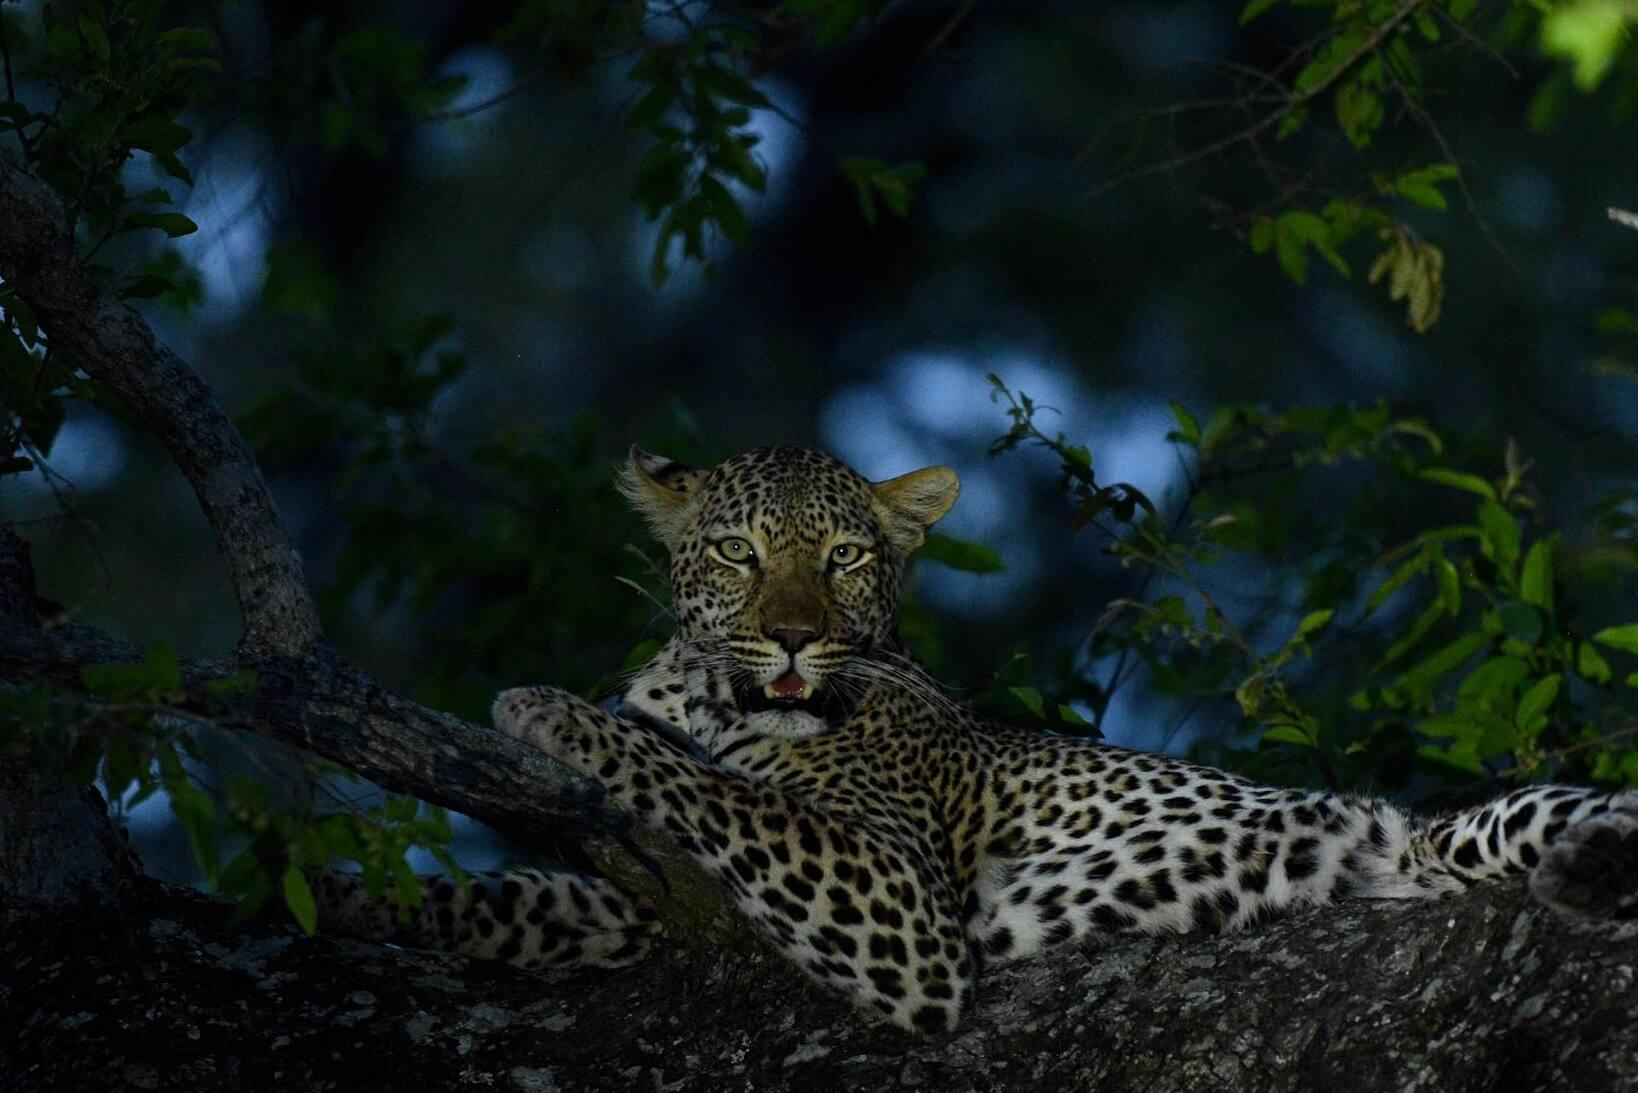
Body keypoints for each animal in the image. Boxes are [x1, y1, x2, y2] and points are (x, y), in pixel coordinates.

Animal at [316, 444, 1638, 1034]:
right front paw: (355, 904)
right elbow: (519, 900)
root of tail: (1397, 840)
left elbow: (718, 786)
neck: (707, 690)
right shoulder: (638, 904)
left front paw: (541, 706)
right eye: (739, 552)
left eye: (846, 555)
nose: (792, 639)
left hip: (1484, 821)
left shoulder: (897, 904)